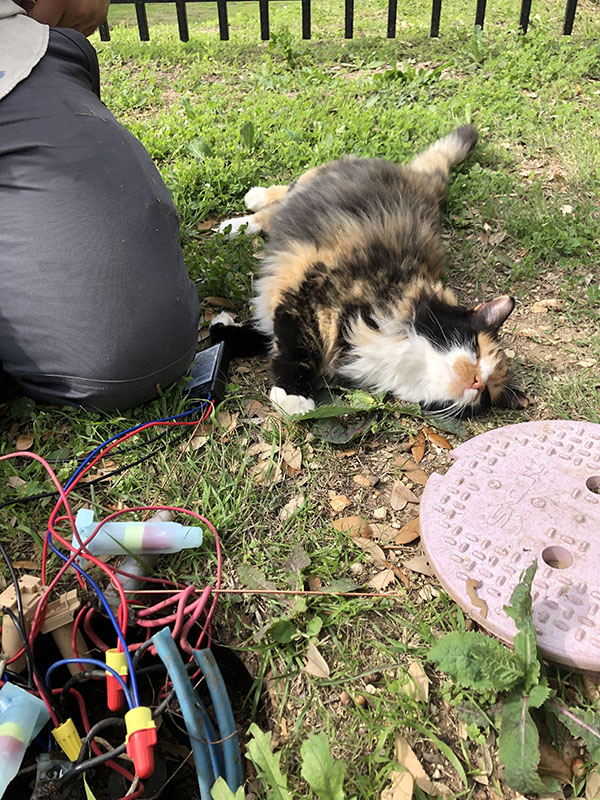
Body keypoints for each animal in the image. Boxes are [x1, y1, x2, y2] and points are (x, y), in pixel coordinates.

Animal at [210, 125, 524, 418]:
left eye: (488, 392)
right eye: (476, 348)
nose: (477, 382)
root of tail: (420, 181)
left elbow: (262, 335)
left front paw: (221, 328)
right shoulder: (310, 295)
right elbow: (298, 347)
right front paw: (293, 397)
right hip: (312, 184)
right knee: (278, 201)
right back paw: (243, 215)